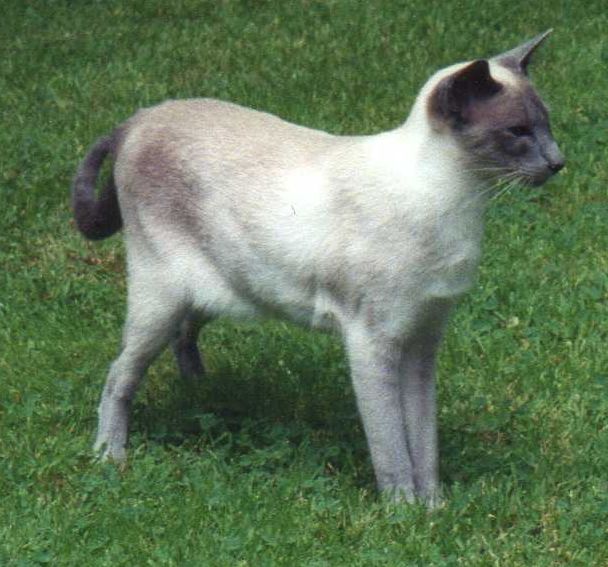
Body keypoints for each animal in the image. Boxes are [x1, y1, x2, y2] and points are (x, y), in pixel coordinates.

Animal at [72, 30, 564, 506]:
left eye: (547, 126)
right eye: (517, 131)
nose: (558, 162)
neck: (460, 205)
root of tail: (140, 117)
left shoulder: (423, 342)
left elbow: (424, 443)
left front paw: (434, 508)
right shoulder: (374, 342)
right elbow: (392, 446)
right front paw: (403, 512)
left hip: (215, 292)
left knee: (183, 338)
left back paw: (204, 396)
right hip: (163, 296)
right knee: (120, 374)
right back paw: (111, 456)